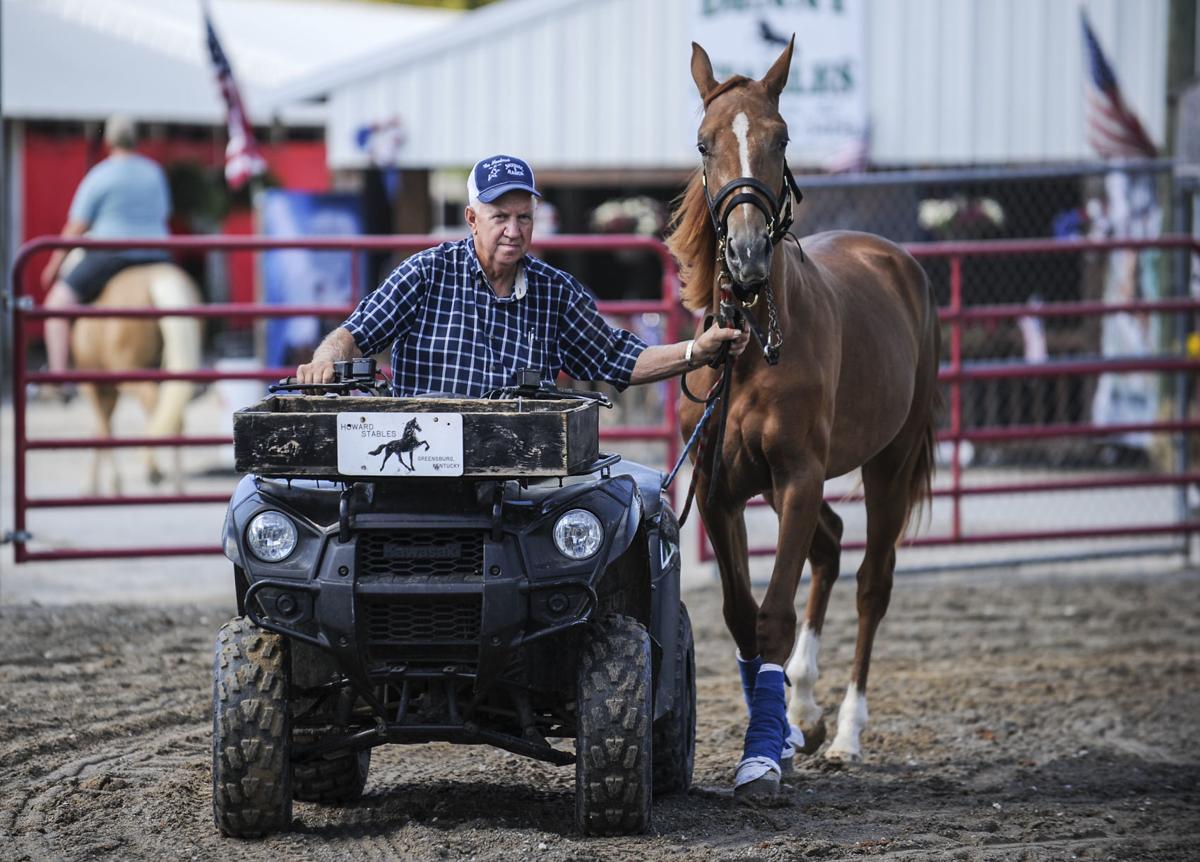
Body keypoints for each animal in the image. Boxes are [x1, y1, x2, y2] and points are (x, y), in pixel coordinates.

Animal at [68, 256, 203, 495]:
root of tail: (160, 279)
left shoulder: (93, 386)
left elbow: (104, 430)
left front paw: (112, 483)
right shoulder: (107, 391)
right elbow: (99, 429)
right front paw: (93, 486)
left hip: (128, 373)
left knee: (153, 402)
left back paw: (153, 468)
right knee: (174, 411)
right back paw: (177, 486)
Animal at [668, 40, 941, 801]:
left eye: (782, 138)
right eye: (704, 142)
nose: (747, 255)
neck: (753, 341)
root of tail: (897, 261)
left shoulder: (796, 477)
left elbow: (774, 618)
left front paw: (764, 757)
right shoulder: (723, 490)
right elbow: (740, 618)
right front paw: (781, 730)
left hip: (887, 465)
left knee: (872, 581)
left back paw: (845, 732)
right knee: (831, 547)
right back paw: (804, 712)